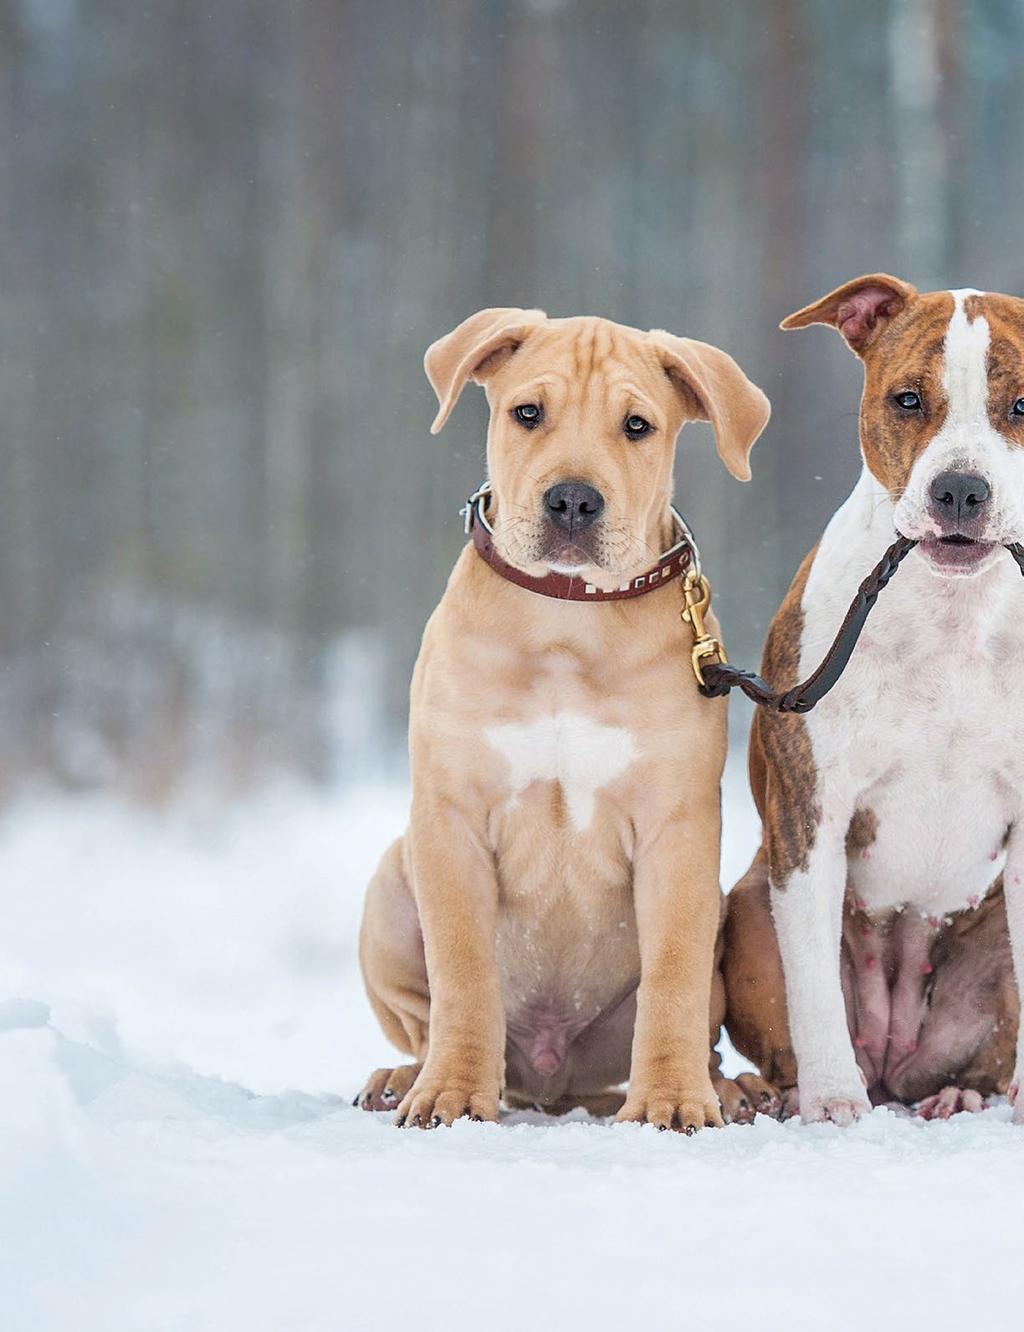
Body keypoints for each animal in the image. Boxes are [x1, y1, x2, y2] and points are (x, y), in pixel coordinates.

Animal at [356, 306, 767, 1129]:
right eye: (527, 413)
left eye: (637, 426)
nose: (573, 500)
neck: (568, 617)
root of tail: (551, 1083)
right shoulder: (450, 815)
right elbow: (463, 967)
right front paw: (451, 1091)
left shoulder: (678, 827)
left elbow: (672, 974)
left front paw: (672, 1099)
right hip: (388, 886)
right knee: (423, 1017)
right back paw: (404, 1075)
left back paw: (730, 1089)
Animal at [724, 273, 1017, 1124]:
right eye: (908, 399)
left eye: (1022, 405)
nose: (961, 489)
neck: (951, 614)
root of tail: (892, 1053)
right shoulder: (812, 812)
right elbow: (814, 988)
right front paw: (831, 1101)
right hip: (748, 907)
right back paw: (792, 1089)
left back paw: (960, 1094)